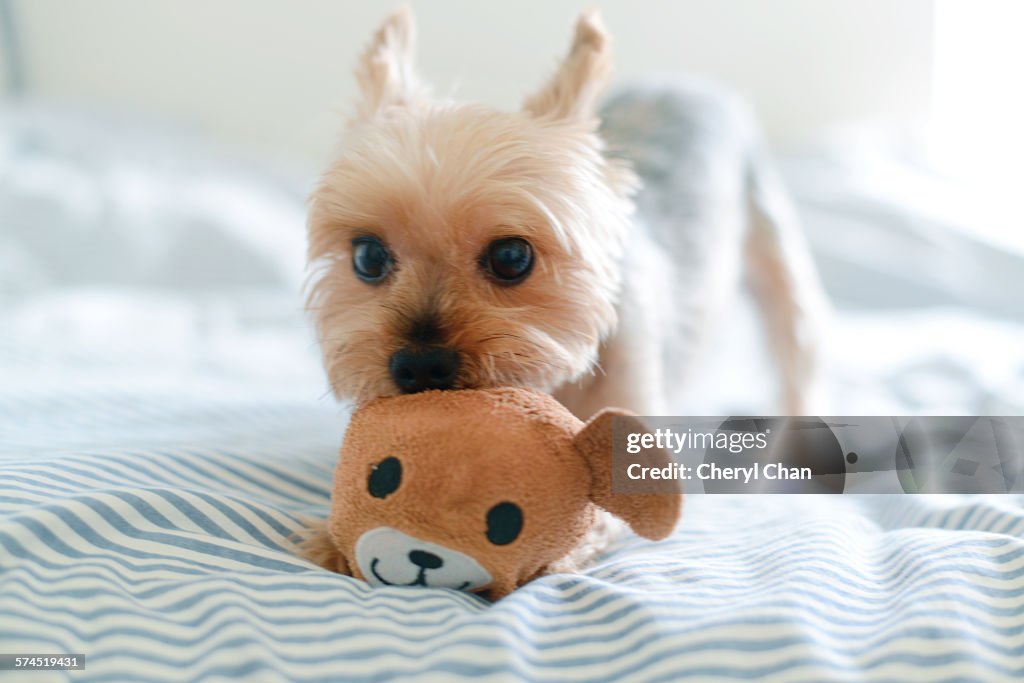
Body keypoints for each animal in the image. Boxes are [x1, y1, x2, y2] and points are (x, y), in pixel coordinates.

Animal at [303, 6, 823, 421]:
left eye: (512, 257)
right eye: (368, 257)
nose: (419, 365)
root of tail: (687, 82)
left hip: (773, 240)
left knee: (796, 346)